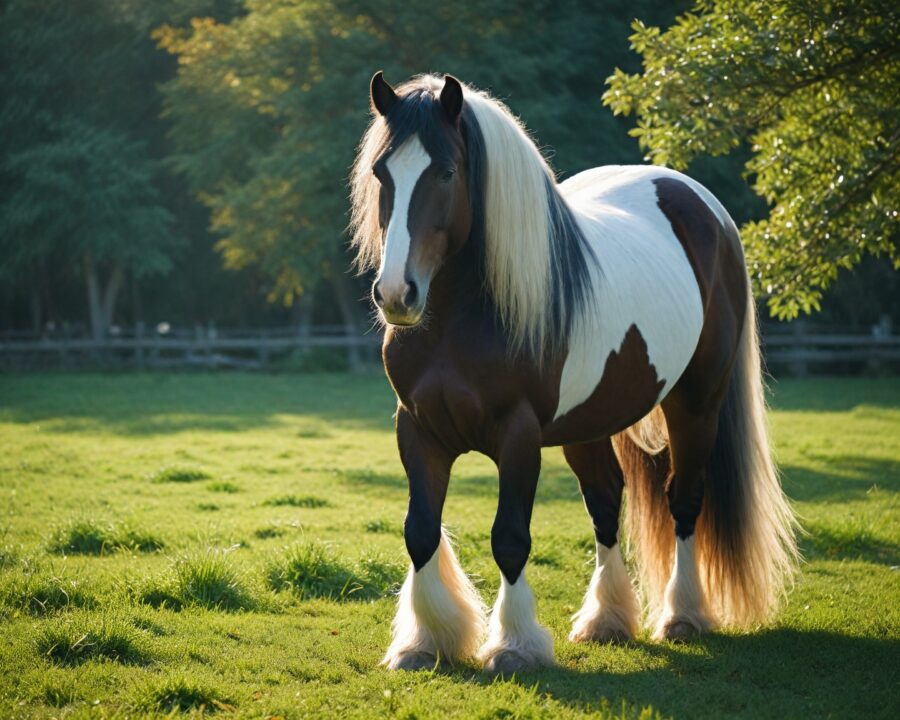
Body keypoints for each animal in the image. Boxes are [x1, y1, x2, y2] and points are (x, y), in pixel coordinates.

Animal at [349, 72, 798, 674]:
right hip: (589, 422)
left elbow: (510, 538)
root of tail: (705, 208)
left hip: (696, 402)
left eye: (445, 172)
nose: (398, 294)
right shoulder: (417, 429)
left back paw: (681, 616)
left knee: (684, 499)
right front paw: (425, 642)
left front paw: (515, 646)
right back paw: (606, 620)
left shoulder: (518, 435)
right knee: (606, 501)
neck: (462, 319)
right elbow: (420, 531)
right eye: (381, 172)